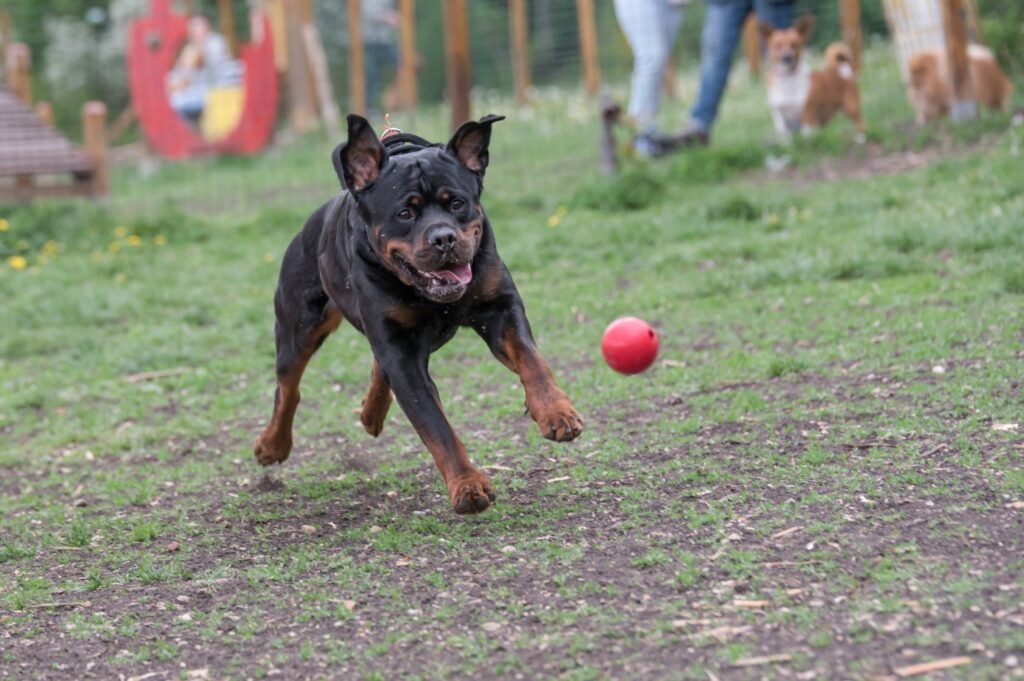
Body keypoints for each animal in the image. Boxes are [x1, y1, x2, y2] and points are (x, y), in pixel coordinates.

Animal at [254, 114, 585, 512]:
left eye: (457, 203)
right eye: (405, 213)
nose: (443, 238)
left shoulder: (500, 308)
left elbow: (532, 360)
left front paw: (556, 411)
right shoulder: (401, 352)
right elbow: (436, 426)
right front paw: (468, 485)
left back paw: (371, 413)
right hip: (299, 328)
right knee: (288, 387)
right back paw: (272, 445)